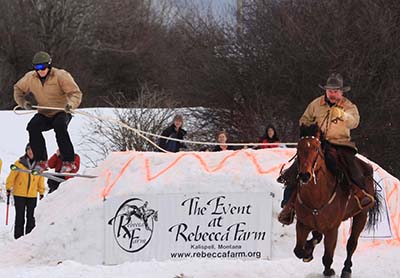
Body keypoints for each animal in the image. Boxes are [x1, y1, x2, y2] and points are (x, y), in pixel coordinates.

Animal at [292, 124, 380, 278]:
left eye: (316, 148)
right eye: (298, 148)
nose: (304, 175)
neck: (316, 197)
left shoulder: (332, 229)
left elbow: (328, 256)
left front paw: (328, 271)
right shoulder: (302, 224)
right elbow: (298, 250)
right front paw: (307, 252)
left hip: (361, 215)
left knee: (352, 244)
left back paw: (346, 269)